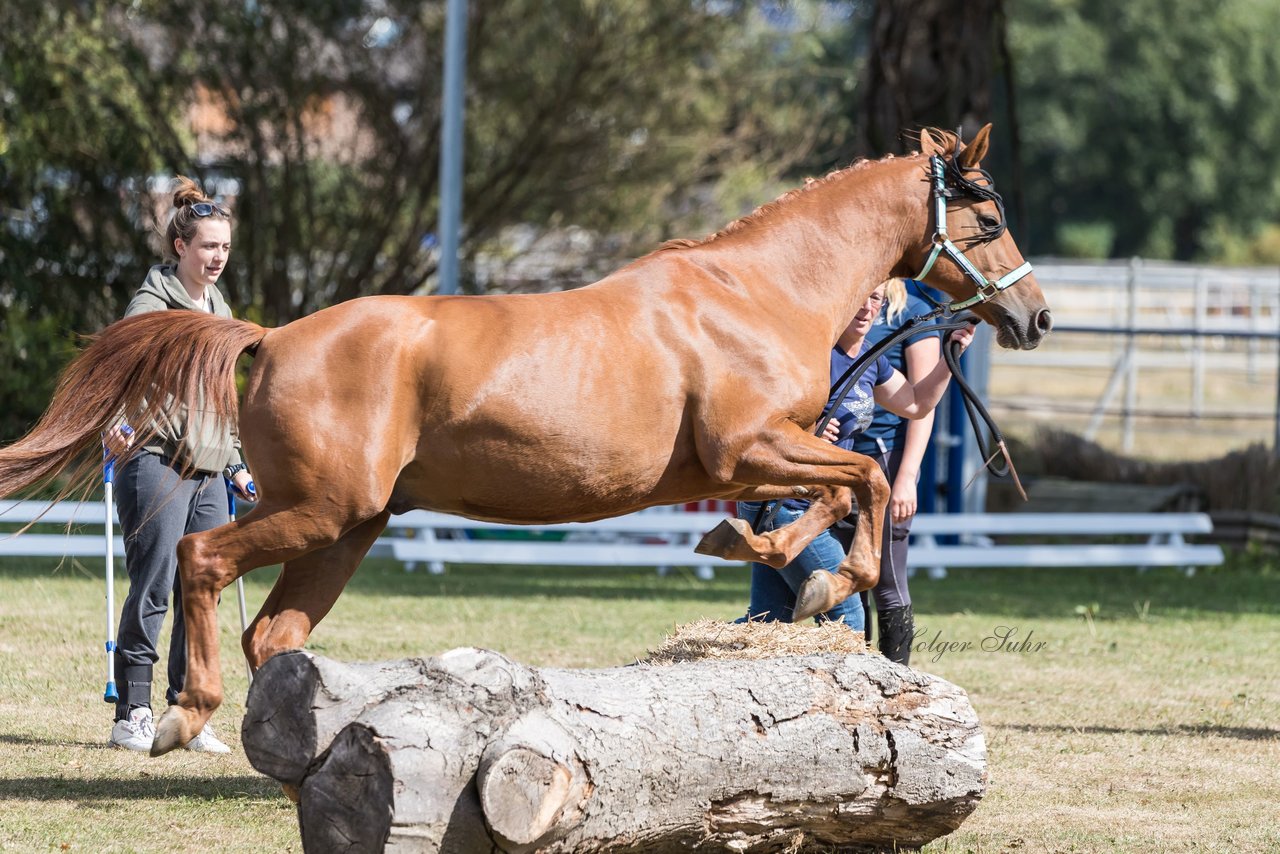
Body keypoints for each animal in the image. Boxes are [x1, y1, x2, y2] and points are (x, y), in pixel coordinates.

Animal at [0, 123, 1049, 752]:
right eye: (989, 215)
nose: (1034, 316)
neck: (754, 291)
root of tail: (273, 335)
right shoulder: (746, 448)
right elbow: (861, 483)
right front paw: (825, 577)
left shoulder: (761, 455)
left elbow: (839, 488)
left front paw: (768, 555)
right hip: (322, 511)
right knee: (202, 561)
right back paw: (184, 718)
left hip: (348, 528)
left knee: (279, 631)